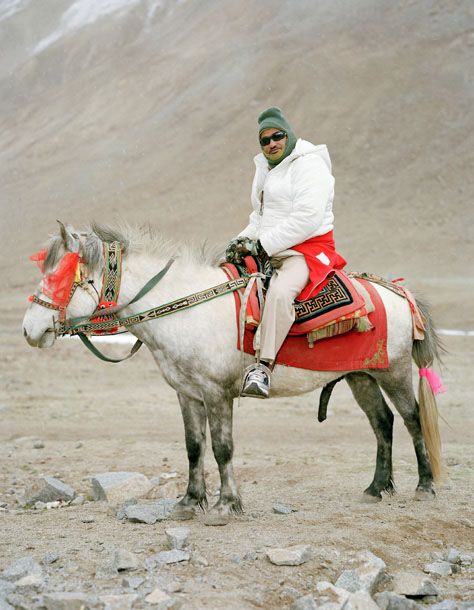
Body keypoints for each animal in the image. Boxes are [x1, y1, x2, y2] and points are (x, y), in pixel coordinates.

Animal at [23, 222, 444, 524]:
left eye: (61, 277)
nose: (30, 331)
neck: (186, 308)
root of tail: (397, 292)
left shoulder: (217, 393)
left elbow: (222, 448)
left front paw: (227, 505)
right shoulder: (187, 393)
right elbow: (194, 447)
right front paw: (189, 502)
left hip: (394, 372)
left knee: (411, 418)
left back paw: (424, 485)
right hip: (362, 376)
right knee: (382, 422)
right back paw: (375, 488)